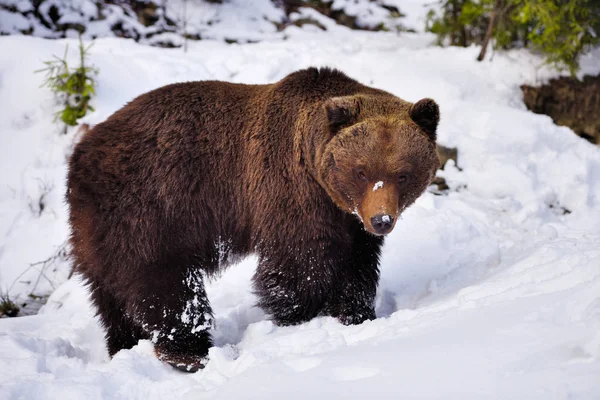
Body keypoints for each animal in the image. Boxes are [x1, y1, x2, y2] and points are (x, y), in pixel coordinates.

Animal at [67, 68, 440, 372]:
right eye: (361, 171)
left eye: (403, 174)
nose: (381, 220)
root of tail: (82, 150)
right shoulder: (290, 191)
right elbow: (300, 265)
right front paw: (302, 318)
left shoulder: (349, 222)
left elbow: (357, 265)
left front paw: (355, 313)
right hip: (149, 207)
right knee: (166, 284)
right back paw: (189, 352)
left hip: (99, 227)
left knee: (111, 294)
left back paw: (125, 345)